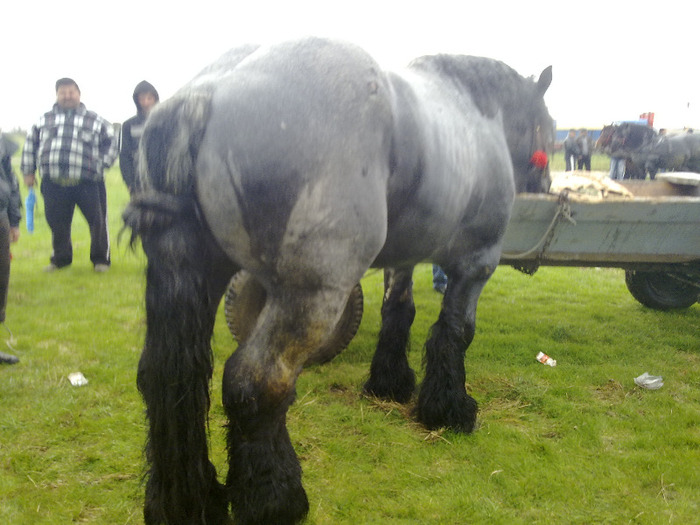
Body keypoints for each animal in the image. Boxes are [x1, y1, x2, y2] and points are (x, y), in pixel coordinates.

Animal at [123, 37, 556, 524]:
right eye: (549, 127)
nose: (546, 182)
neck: (475, 112)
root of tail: (210, 90)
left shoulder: (402, 260)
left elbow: (398, 313)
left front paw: (390, 382)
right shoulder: (476, 264)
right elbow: (455, 332)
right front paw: (449, 409)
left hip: (189, 274)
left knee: (167, 379)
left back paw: (186, 502)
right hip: (311, 297)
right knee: (254, 383)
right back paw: (276, 498)